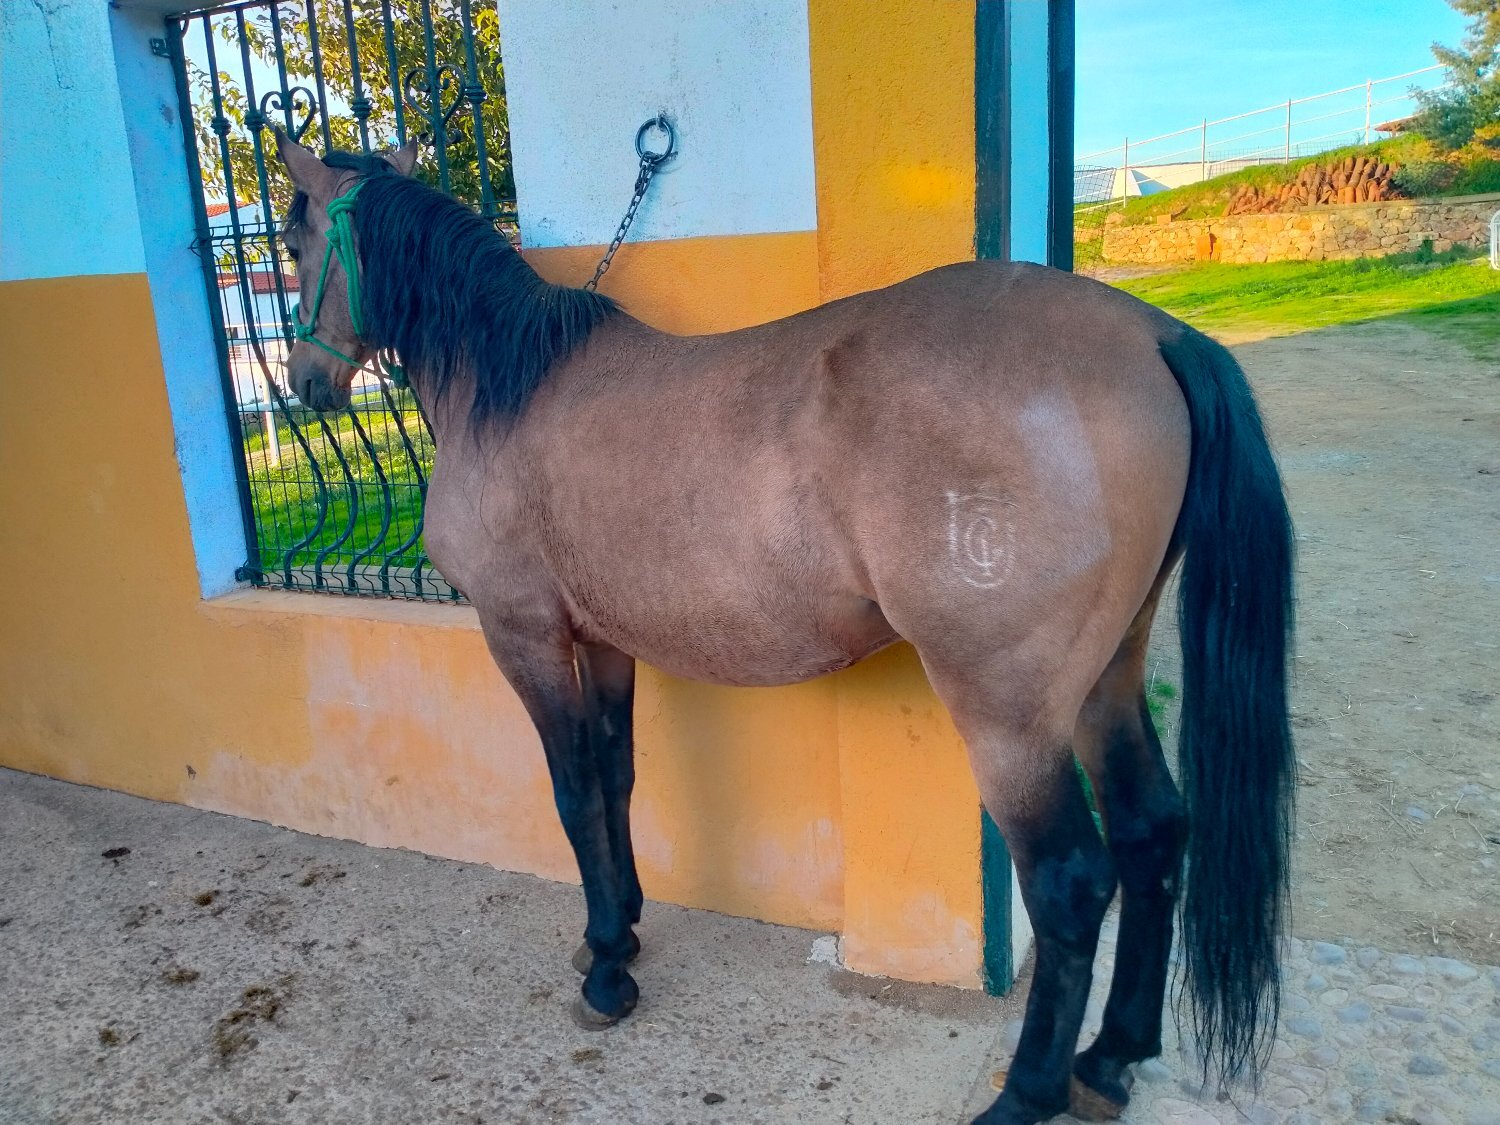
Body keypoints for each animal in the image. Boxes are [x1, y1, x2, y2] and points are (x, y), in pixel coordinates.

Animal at [271, 131, 1295, 1125]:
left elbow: (572, 792)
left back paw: (1025, 1094)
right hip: (1105, 680)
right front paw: (623, 931)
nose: (305, 385)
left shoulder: (523, 633)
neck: (511, 390)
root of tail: (1154, 333)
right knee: (1152, 832)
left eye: (291, 241)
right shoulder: (601, 640)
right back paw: (1110, 1058)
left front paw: (604, 970)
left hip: (1010, 714)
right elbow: (617, 776)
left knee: (1072, 880)